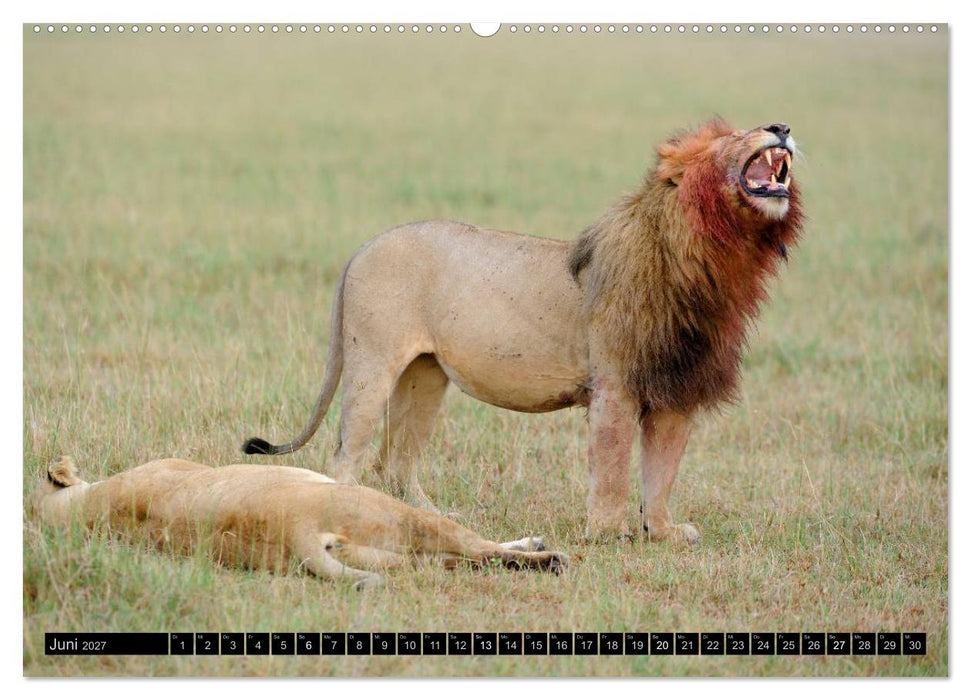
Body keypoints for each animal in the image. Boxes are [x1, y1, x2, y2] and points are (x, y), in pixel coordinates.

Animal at [243, 119, 802, 542]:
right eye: (734, 135)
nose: (781, 127)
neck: (713, 258)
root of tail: (363, 247)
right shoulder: (616, 387)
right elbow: (614, 470)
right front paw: (607, 535)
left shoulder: (675, 389)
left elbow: (661, 473)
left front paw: (662, 533)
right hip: (372, 364)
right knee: (345, 458)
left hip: (425, 377)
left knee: (397, 463)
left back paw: (434, 518)